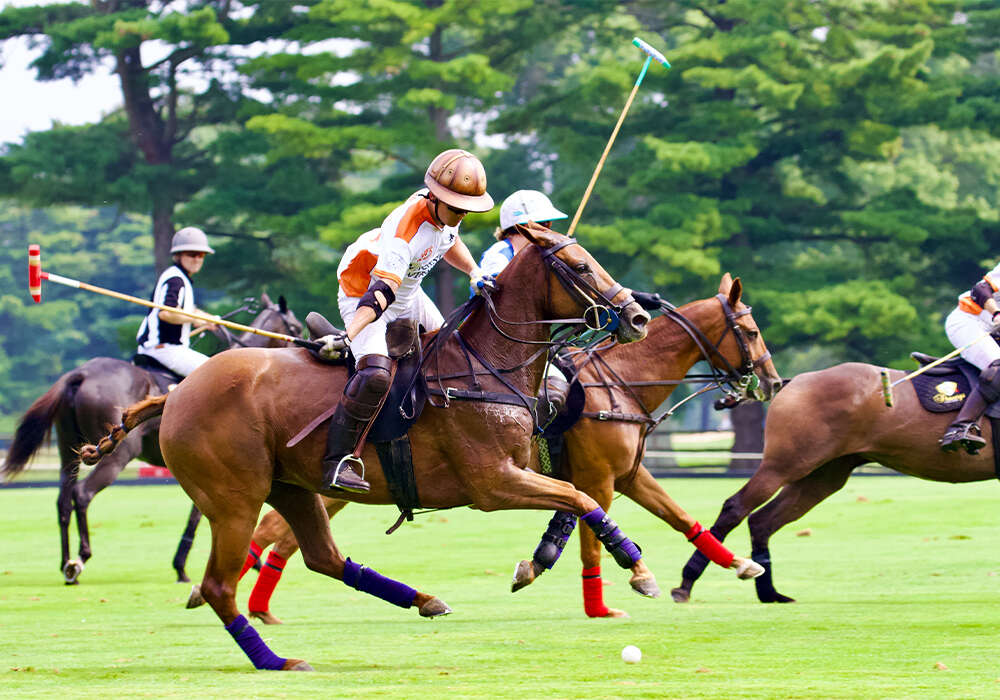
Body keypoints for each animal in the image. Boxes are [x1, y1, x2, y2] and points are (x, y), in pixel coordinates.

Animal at [1, 292, 302, 584]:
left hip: (67, 450)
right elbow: (199, 516)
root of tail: (80, 374)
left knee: (63, 501)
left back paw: (66, 565)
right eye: (296, 328)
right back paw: (81, 559)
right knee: (82, 494)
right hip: (119, 455)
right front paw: (187, 567)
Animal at [84, 227, 648, 668]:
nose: (637, 317)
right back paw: (274, 659)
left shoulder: (531, 468)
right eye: (581, 265)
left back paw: (424, 599)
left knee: (323, 557)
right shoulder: (492, 483)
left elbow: (577, 499)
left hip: (291, 488)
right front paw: (634, 563)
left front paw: (552, 560)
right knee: (225, 583)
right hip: (232, 500)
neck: (485, 366)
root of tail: (177, 393)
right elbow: (581, 498)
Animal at [672, 360, 1000, 600]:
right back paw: (687, 582)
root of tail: (792, 383)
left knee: (763, 520)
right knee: (736, 507)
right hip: (784, 464)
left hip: (824, 474)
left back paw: (770, 593)